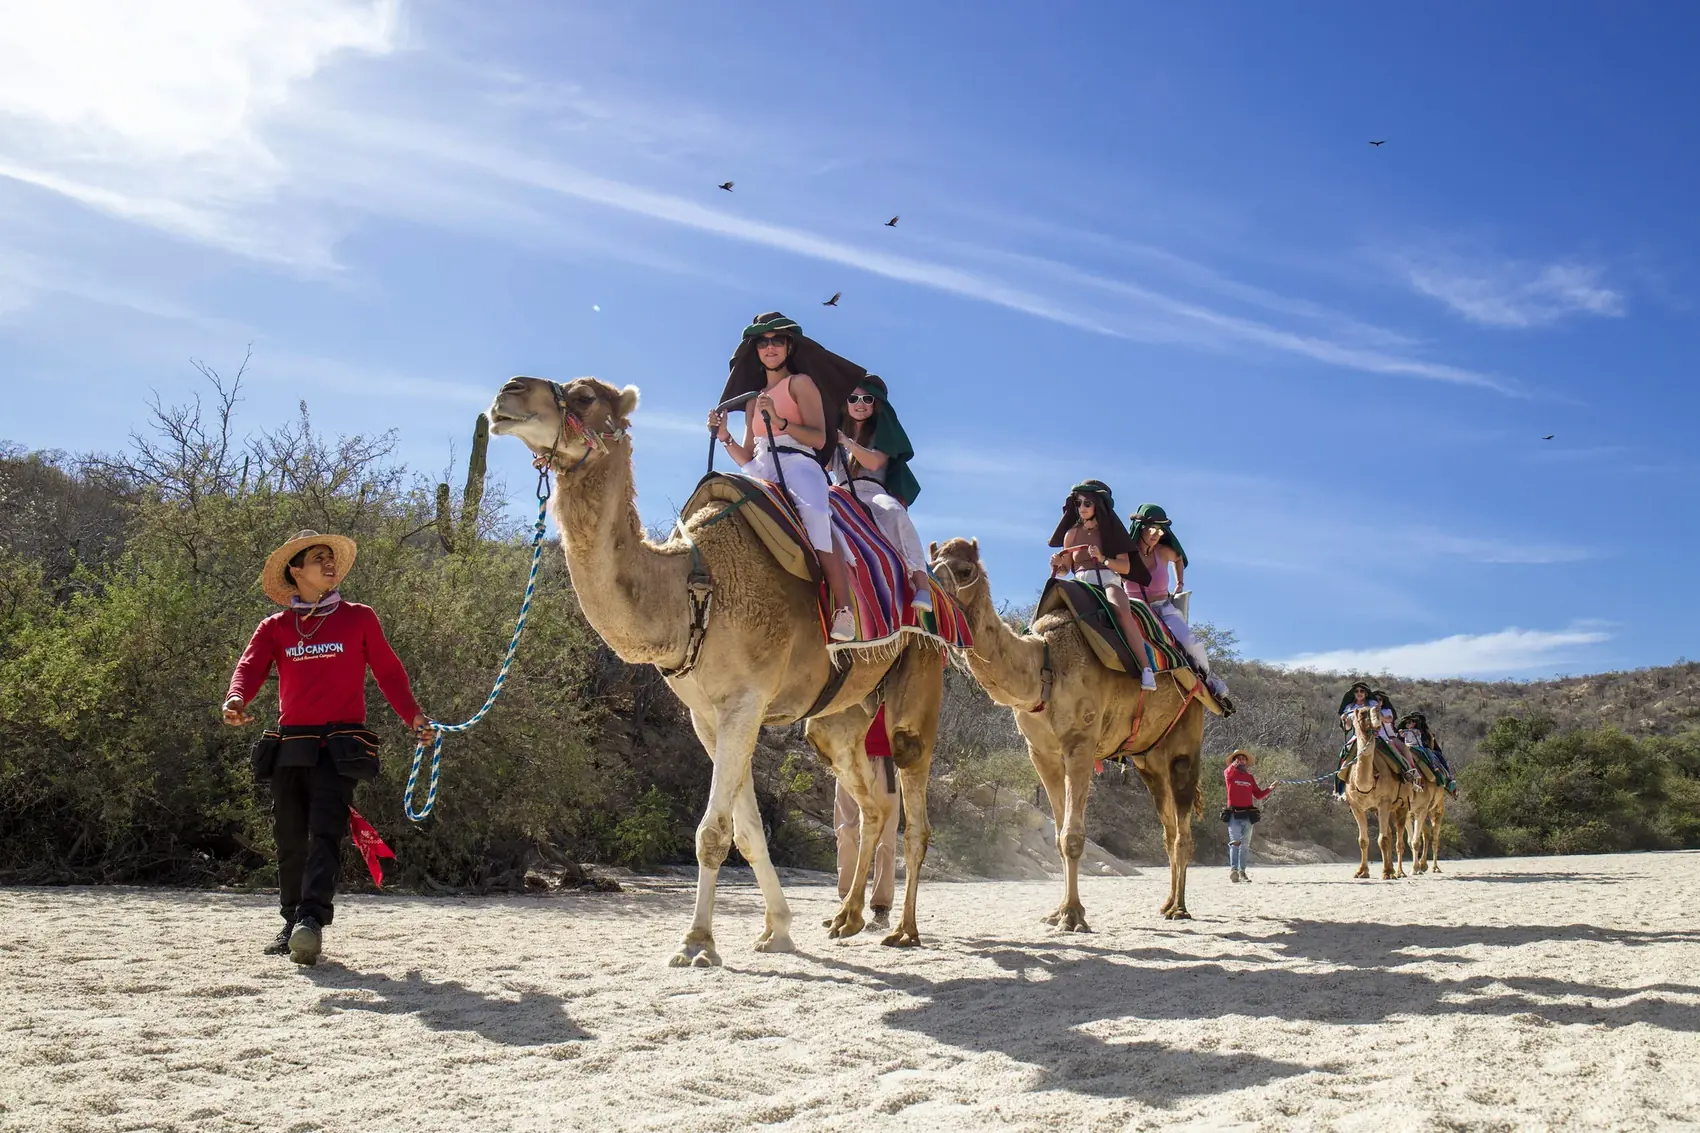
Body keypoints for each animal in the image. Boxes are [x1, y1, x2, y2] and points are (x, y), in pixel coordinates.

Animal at [488, 377, 944, 965]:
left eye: (585, 396)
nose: (508, 393)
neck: (693, 589)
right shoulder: (707, 715)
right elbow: (747, 831)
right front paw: (777, 930)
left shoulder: (744, 703)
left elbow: (712, 831)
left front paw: (698, 942)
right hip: (841, 717)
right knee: (873, 804)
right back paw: (846, 918)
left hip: (920, 673)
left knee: (914, 806)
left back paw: (903, 929)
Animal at [928, 538, 1206, 926]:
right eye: (931, 562)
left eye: (964, 569)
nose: (930, 590)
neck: (1044, 666)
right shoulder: (1041, 752)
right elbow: (1059, 834)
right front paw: (1059, 911)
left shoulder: (1081, 743)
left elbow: (1073, 836)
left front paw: (1073, 916)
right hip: (1148, 759)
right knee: (1168, 829)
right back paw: (1167, 904)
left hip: (1186, 738)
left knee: (1183, 832)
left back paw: (1179, 908)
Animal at [1343, 705, 1414, 879]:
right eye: (1362, 713)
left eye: (1378, 710)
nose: (1376, 722)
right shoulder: (1356, 807)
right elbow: (1363, 840)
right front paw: (1362, 871)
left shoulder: (1384, 802)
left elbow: (1383, 839)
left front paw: (1387, 873)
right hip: (1379, 810)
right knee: (1388, 833)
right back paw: (1391, 869)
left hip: (1402, 805)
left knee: (1398, 839)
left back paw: (1398, 872)